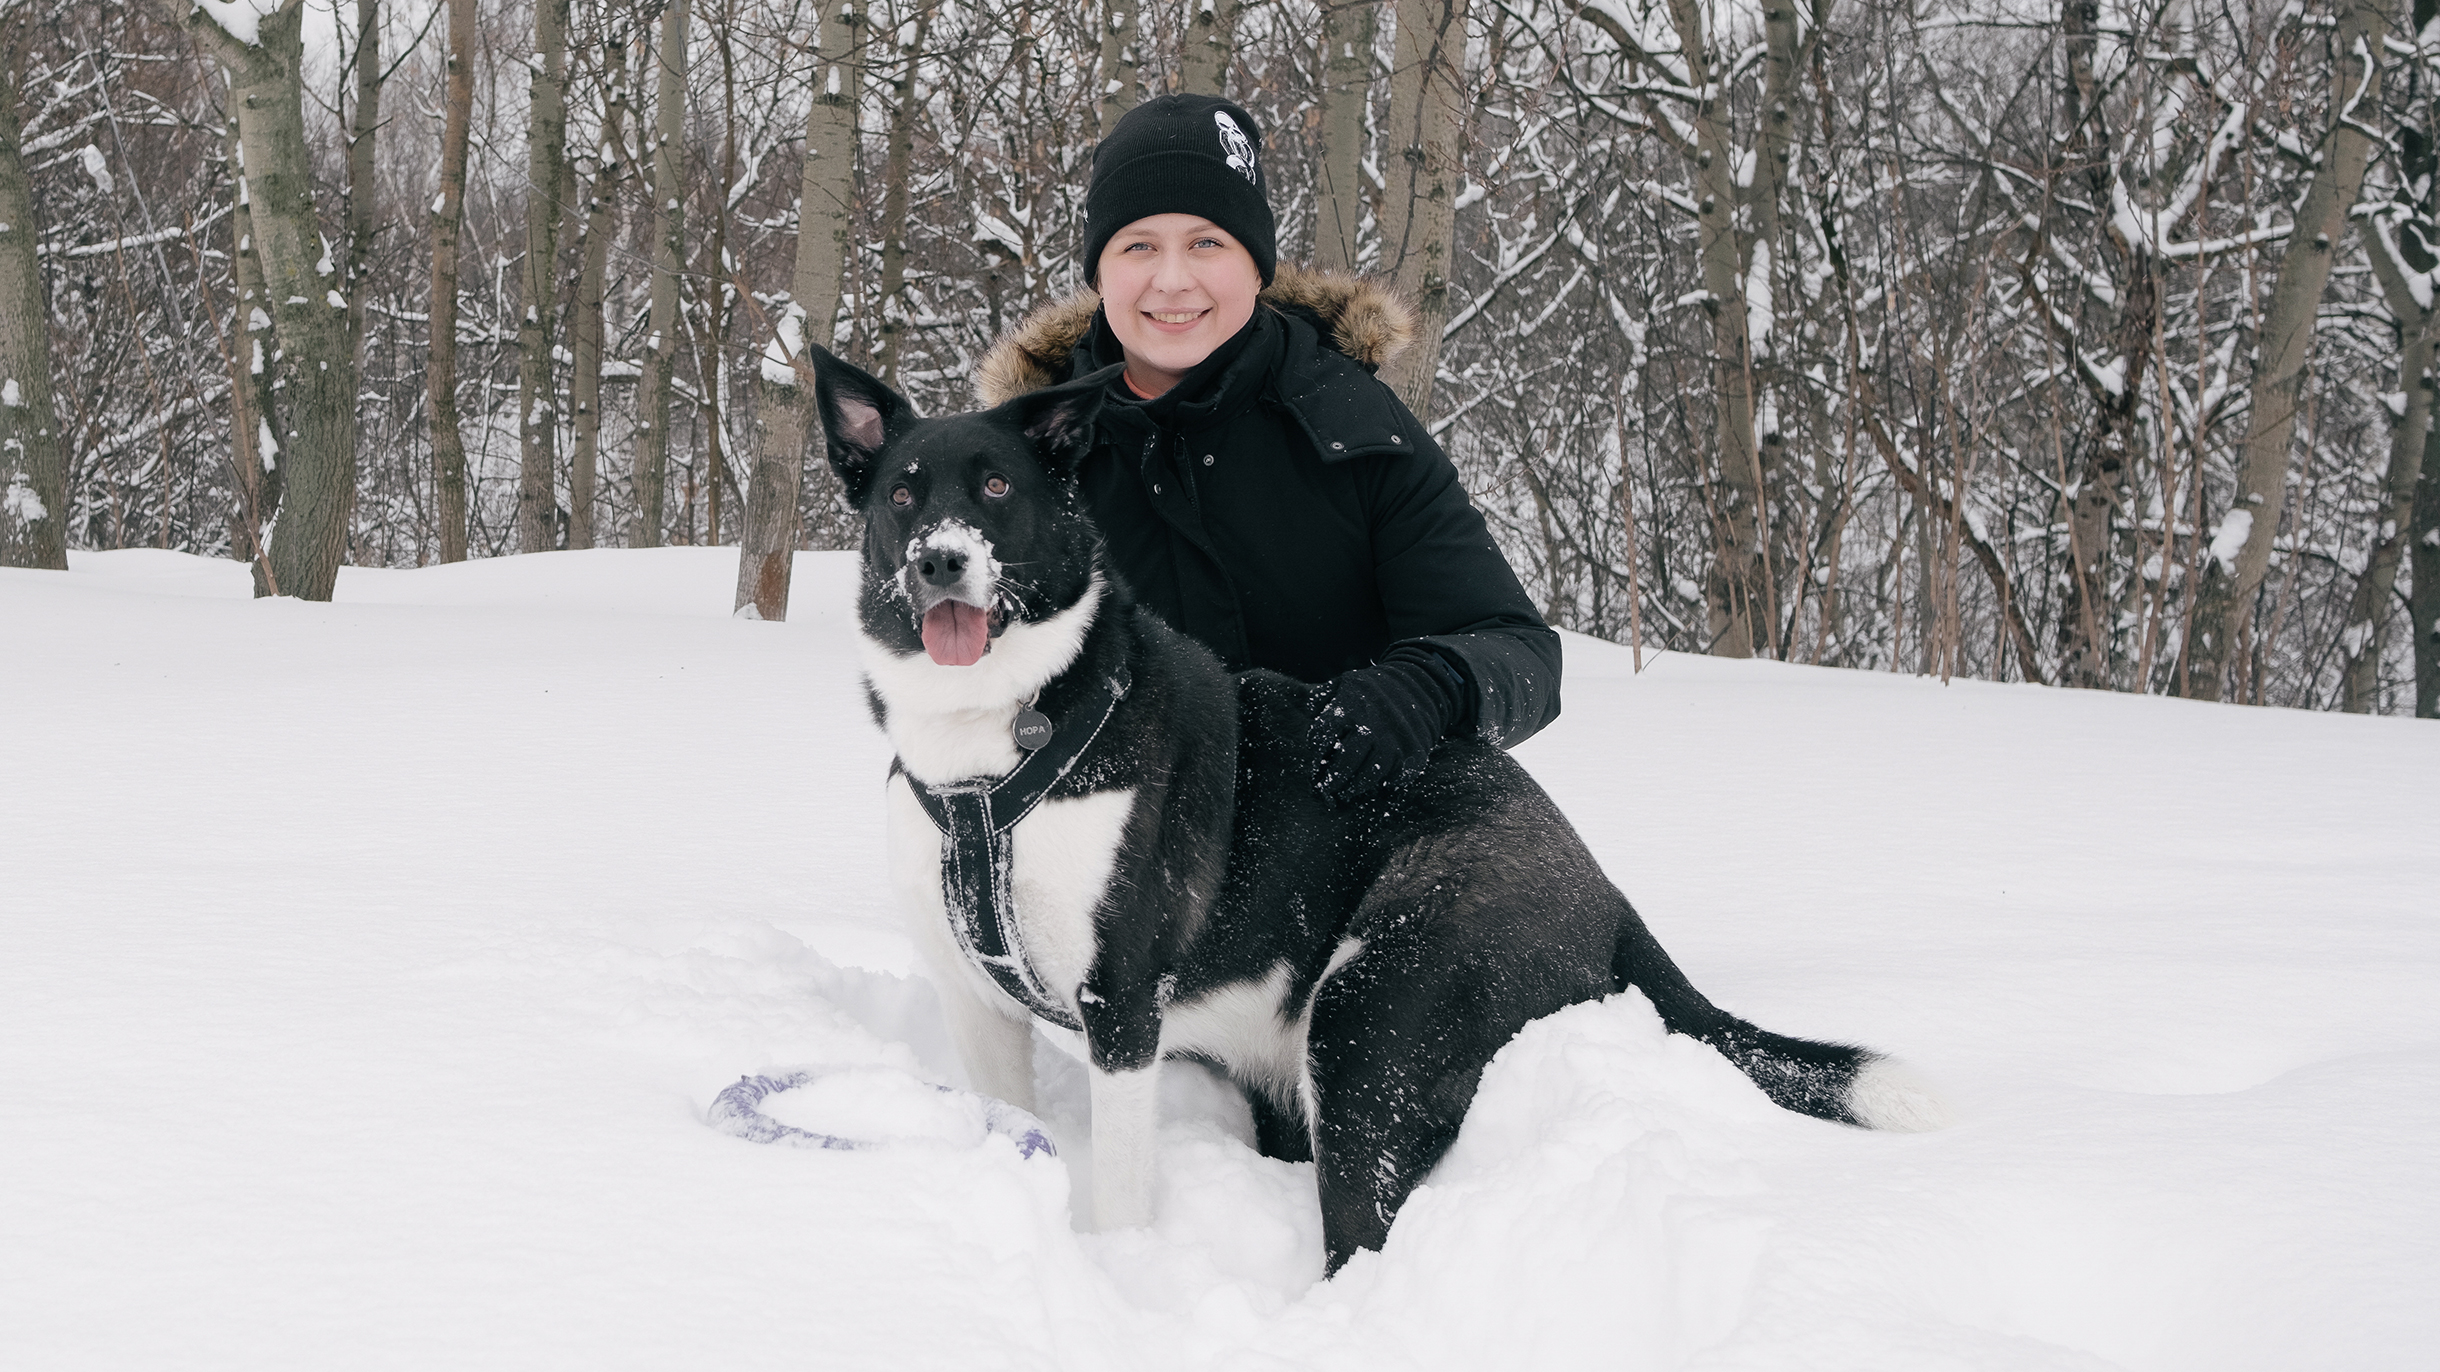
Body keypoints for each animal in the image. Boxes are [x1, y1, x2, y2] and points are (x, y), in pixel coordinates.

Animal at [810, 341, 1952, 1269]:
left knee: (1364, 1229)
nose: (940, 559)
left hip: (1373, 1011)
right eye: (903, 494)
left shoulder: (1122, 1005)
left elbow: (1126, 1192)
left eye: (998, 484)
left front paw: (1119, 1279)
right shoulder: (979, 1003)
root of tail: (1605, 888)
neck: (1001, 738)